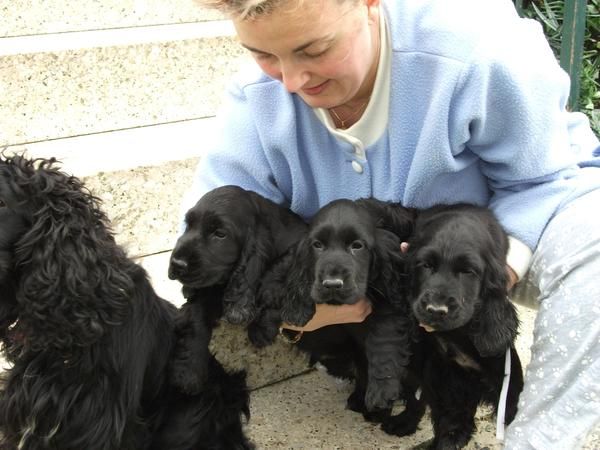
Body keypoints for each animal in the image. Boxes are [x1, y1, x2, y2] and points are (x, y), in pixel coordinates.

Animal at [168, 185, 304, 392]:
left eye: (220, 234)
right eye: (189, 224)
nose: (177, 263)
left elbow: (286, 264)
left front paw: (262, 327)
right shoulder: (211, 287)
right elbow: (197, 317)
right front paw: (189, 371)